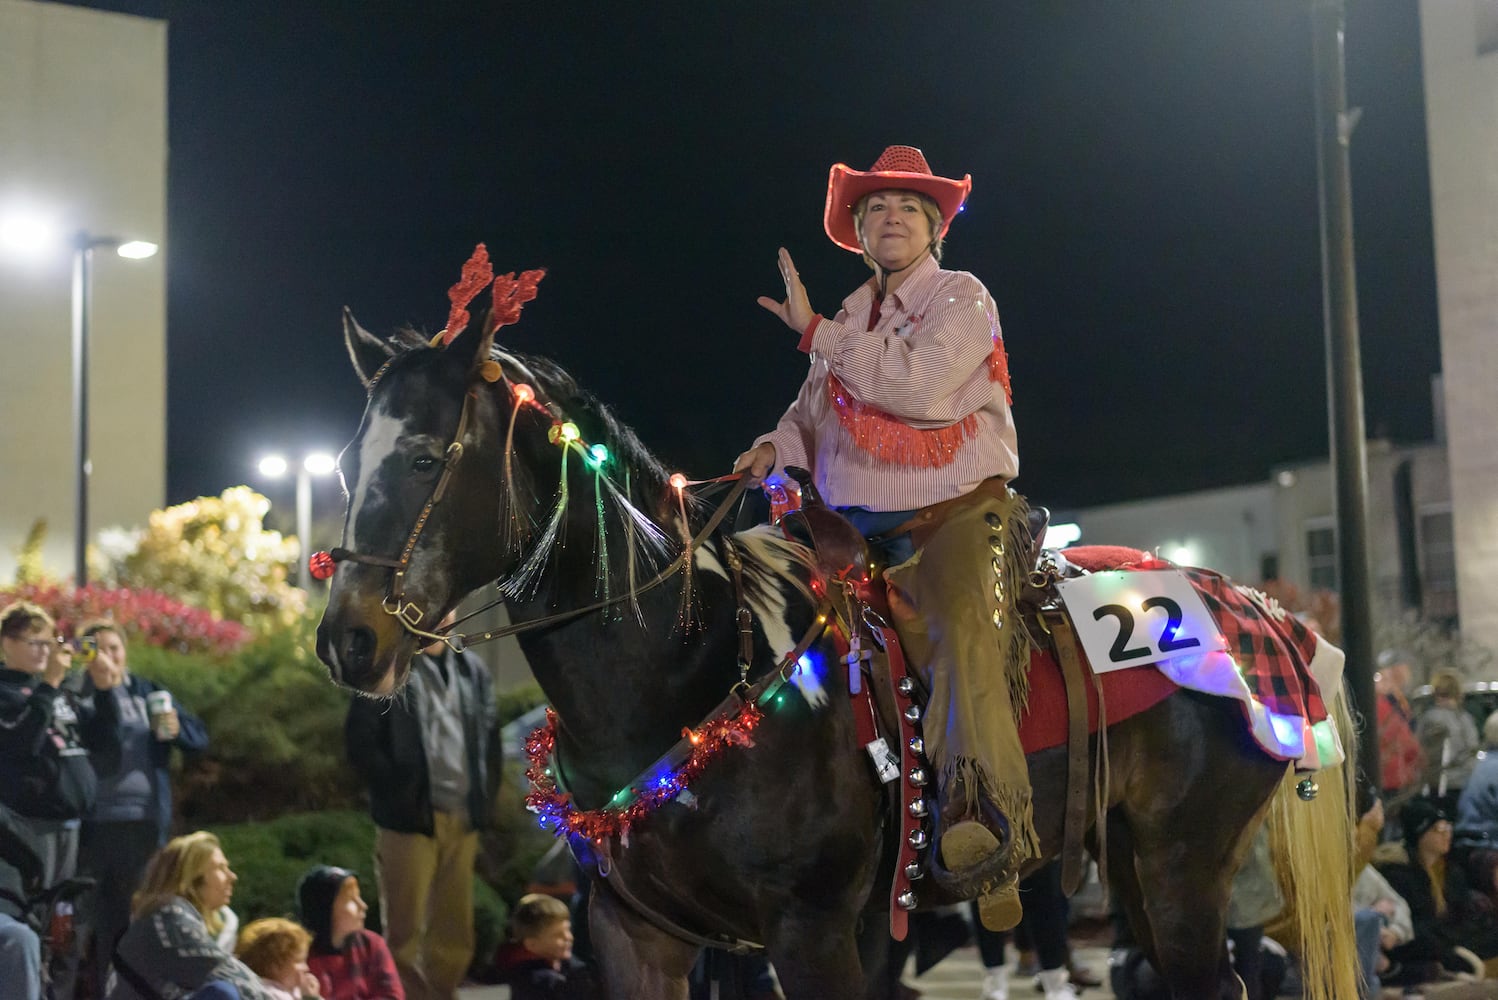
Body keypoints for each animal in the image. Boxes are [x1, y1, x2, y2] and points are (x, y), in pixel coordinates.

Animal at [313, 299, 1360, 999]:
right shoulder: (632, 934)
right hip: (1138, 861)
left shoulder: (813, 929)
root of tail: (1255, 610)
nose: (348, 640)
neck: (689, 670)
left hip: (1186, 860)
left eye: (422, 458)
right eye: (344, 466)